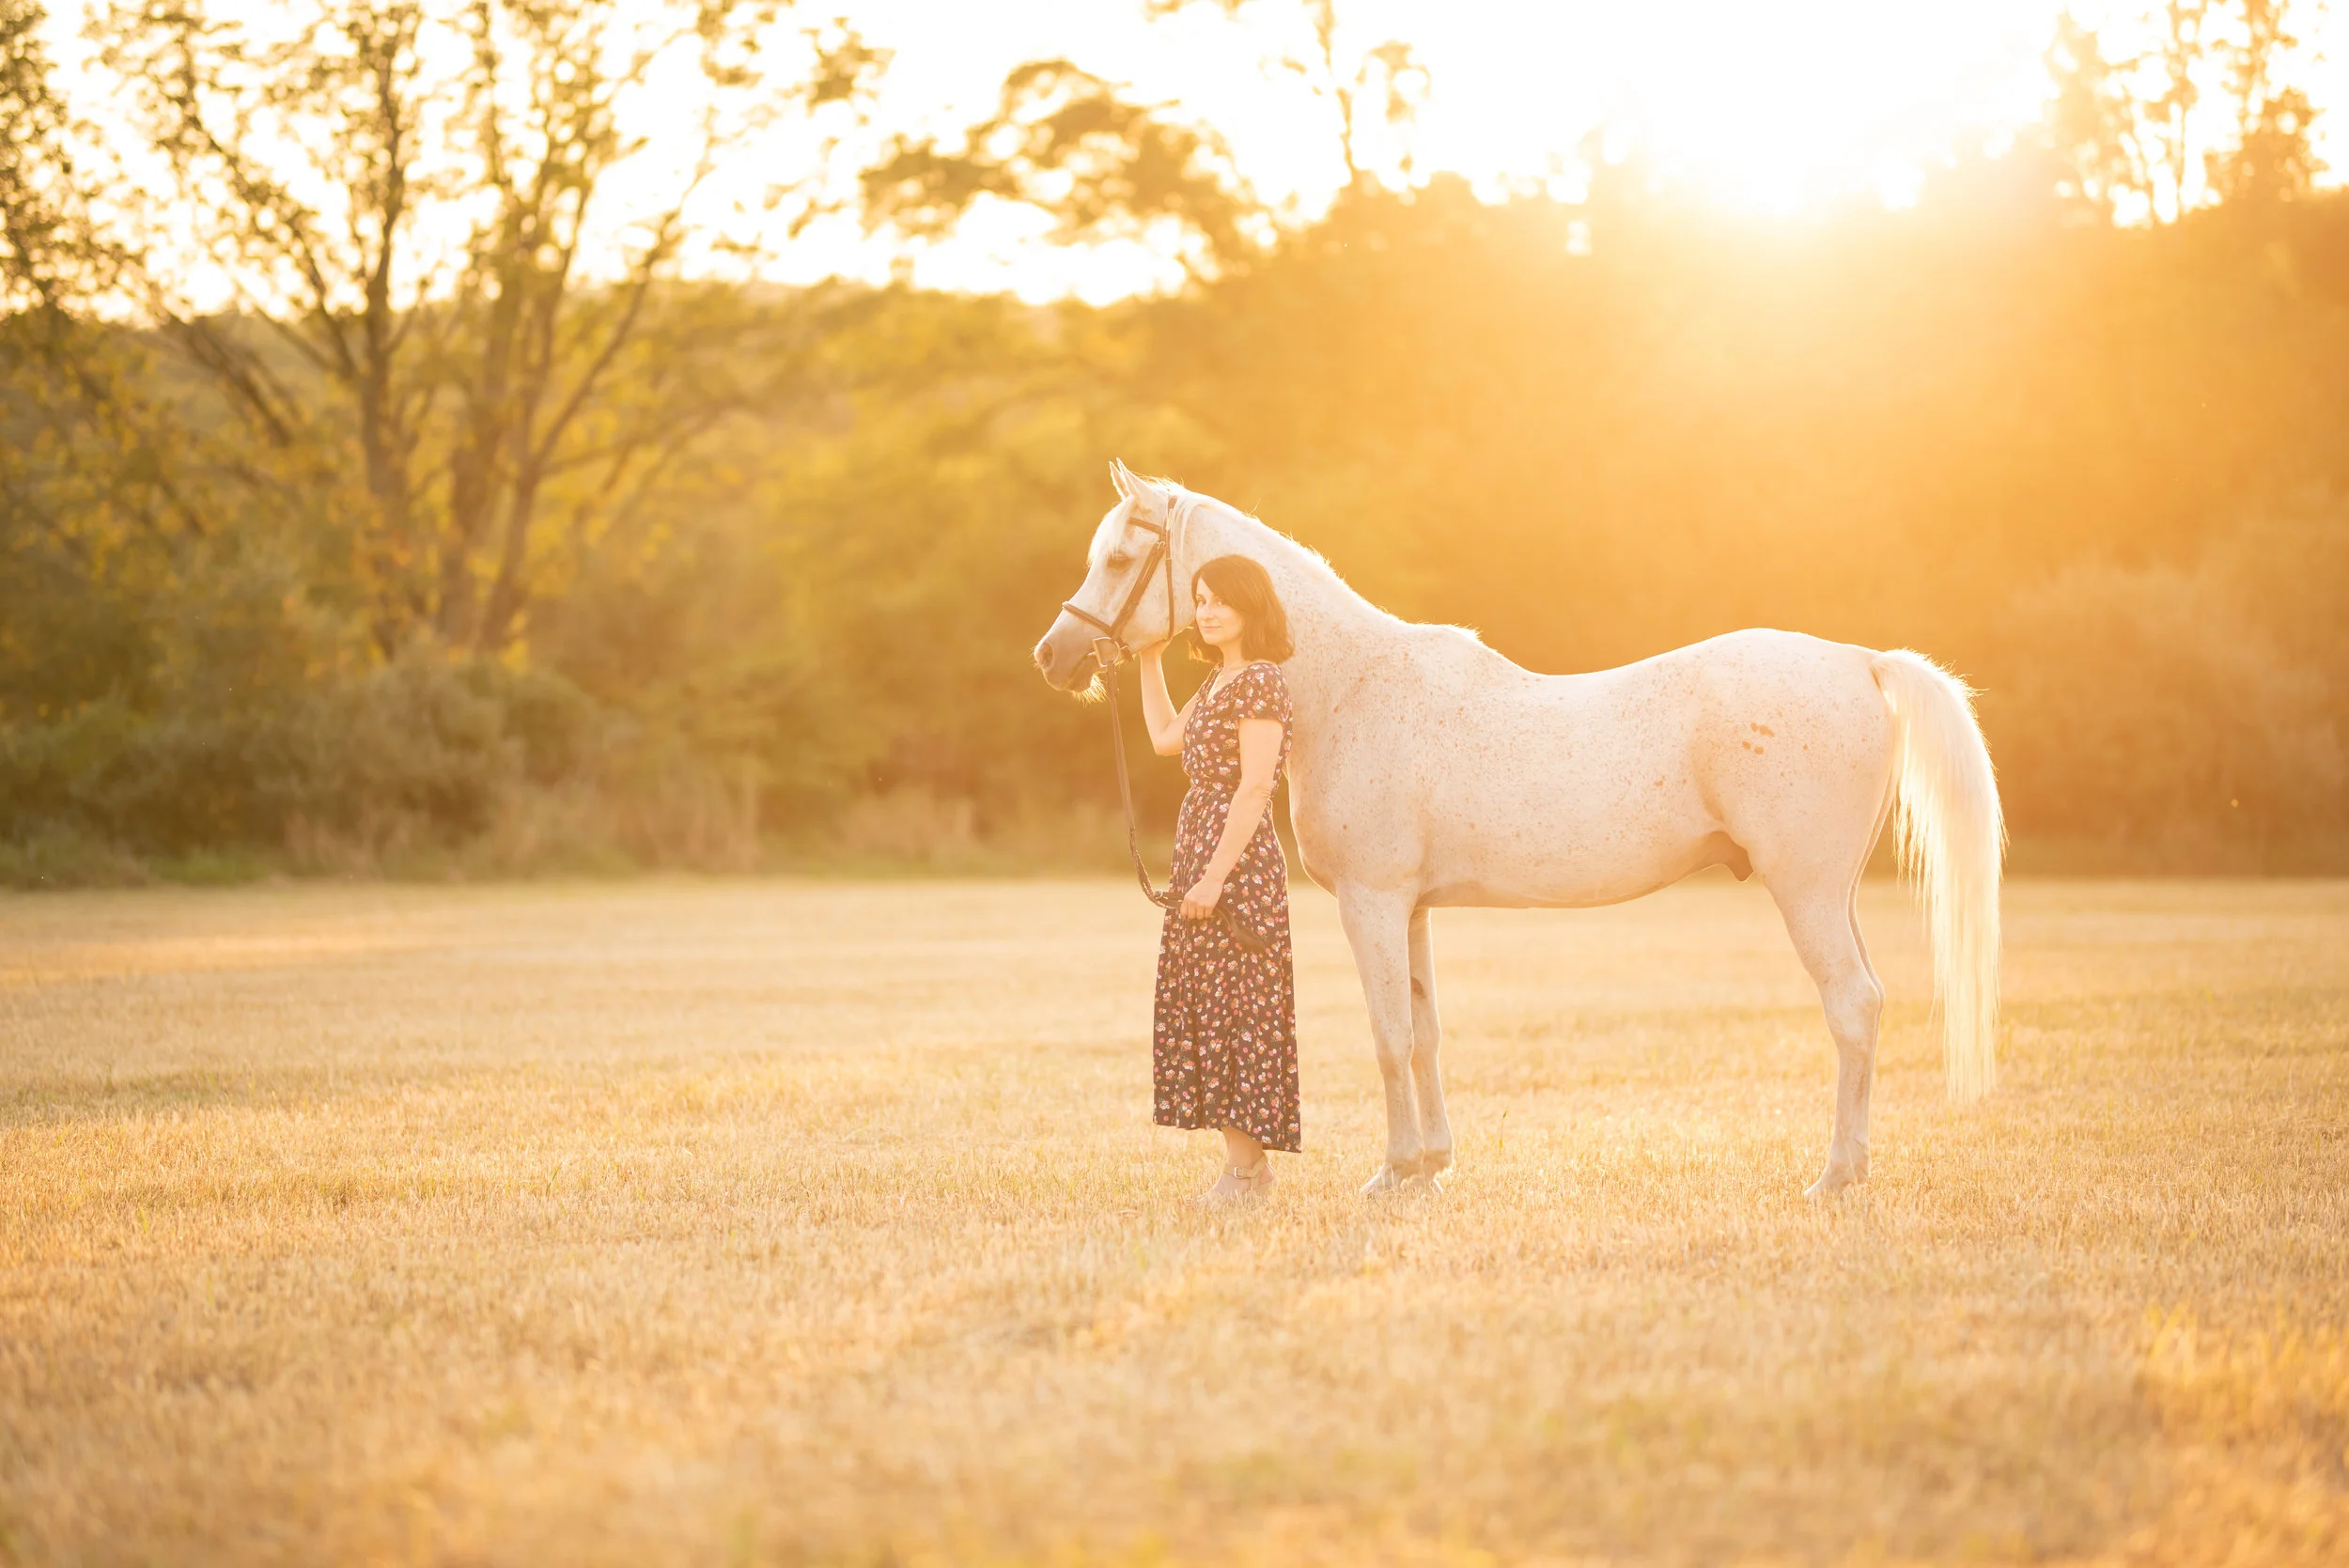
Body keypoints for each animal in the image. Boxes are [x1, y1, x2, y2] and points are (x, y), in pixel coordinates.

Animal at [1034, 462, 2003, 1199]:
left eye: (1120, 555)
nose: (1055, 657)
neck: (1350, 687)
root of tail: (1860, 662)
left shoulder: (1371, 903)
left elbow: (1388, 1036)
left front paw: (1392, 1173)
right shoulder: (1412, 909)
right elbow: (1424, 1031)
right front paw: (1432, 1164)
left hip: (1806, 892)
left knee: (1853, 1006)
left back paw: (1836, 1174)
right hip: (1835, 894)